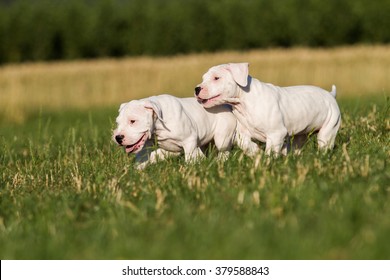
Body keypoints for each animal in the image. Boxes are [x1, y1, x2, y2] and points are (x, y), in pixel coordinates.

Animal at [195, 62, 342, 156]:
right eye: (203, 78)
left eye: (216, 78)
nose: (196, 89)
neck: (244, 102)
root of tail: (330, 95)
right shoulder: (242, 133)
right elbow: (244, 144)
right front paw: (255, 152)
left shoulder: (276, 133)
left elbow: (270, 152)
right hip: (300, 135)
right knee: (297, 146)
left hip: (329, 128)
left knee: (325, 144)